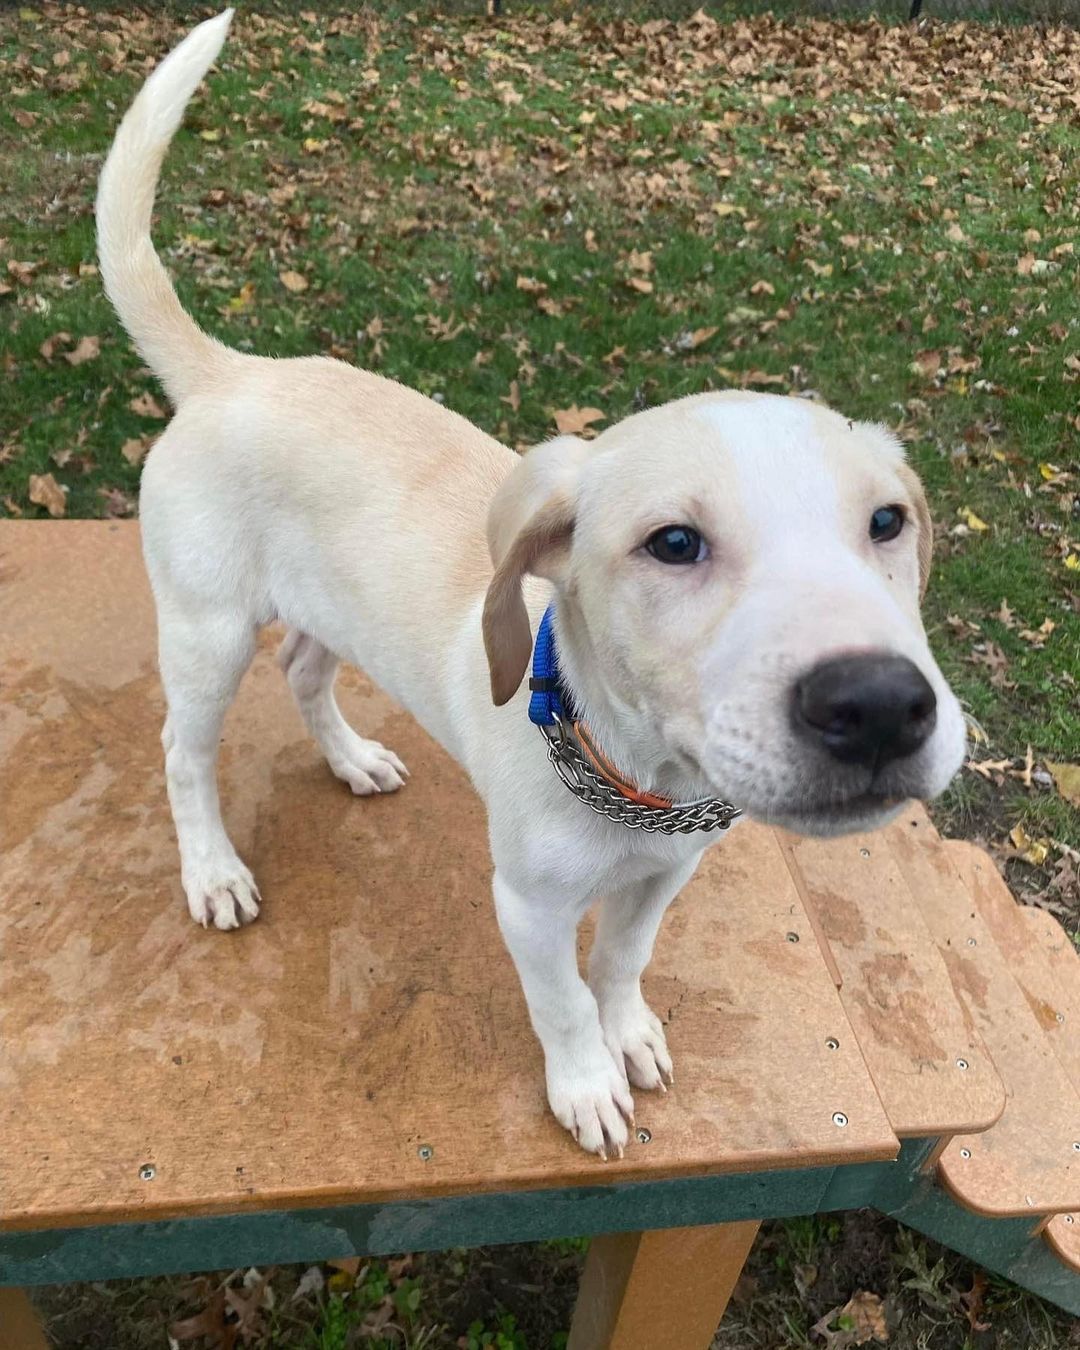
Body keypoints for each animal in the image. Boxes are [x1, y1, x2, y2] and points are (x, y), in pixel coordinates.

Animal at [97, 10, 966, 1161]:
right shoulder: (528, 906)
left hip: (329, 609)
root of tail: (230, 371)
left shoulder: (664, 875)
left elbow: (623, 960)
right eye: (673, 543)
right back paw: (212, 872)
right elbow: (559, 1000)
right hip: (205, 630)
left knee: (305, 670)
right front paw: (586, 1081)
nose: (876, 706)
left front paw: (628, 1032)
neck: (637, 779)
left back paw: (352, 758)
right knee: (184, 753)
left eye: (887, 523)